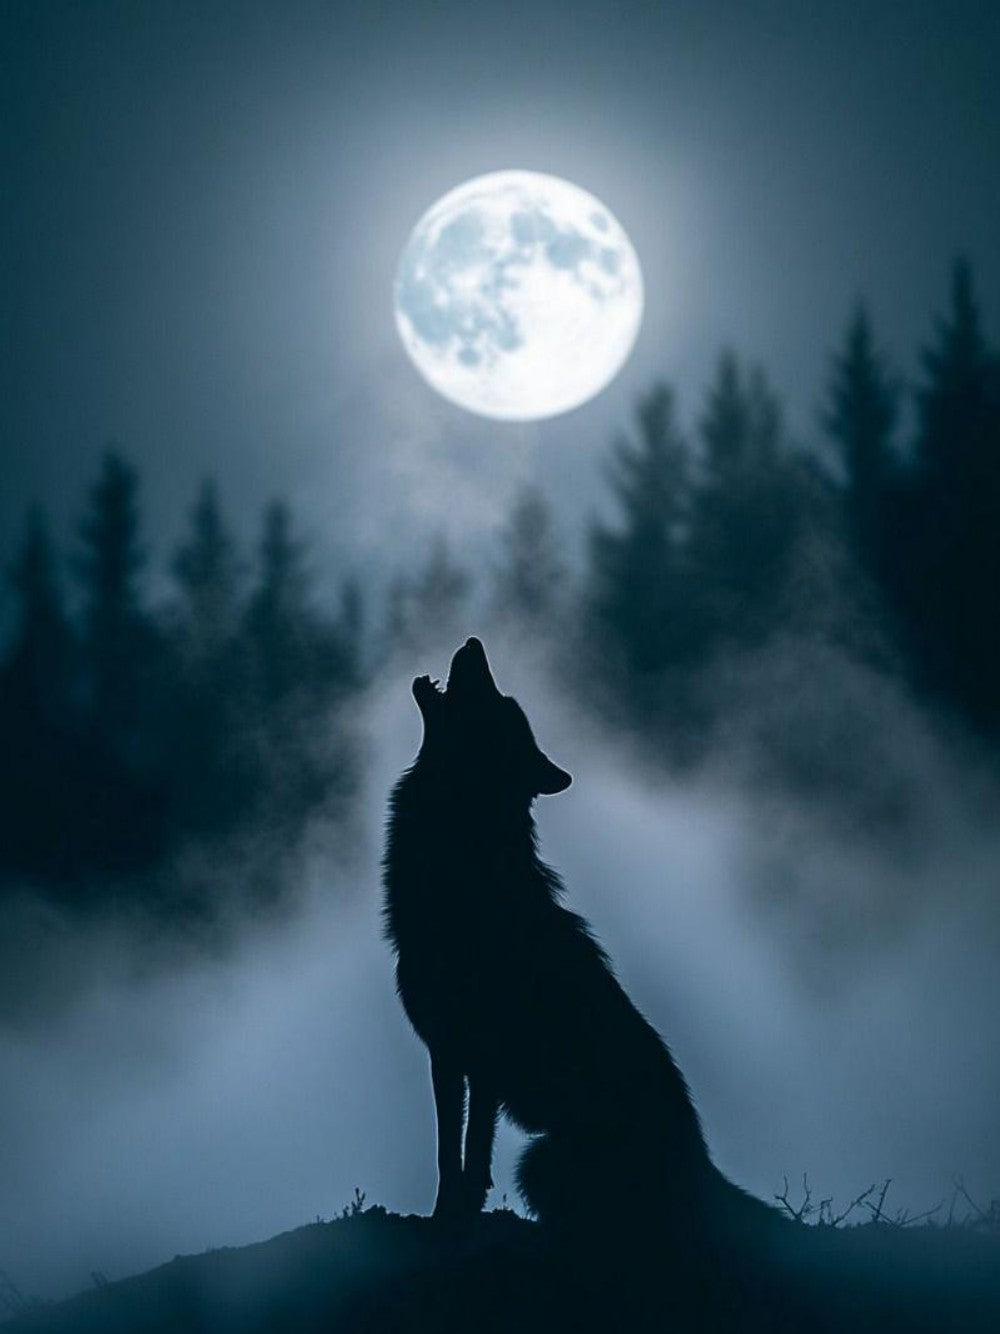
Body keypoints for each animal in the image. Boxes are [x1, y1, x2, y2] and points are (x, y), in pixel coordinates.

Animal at [383, 637, 775, 1238]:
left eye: (498, 703)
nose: (474, 642)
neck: (464, 869)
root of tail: (704, 1168)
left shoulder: (483, 1057)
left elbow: (470, 1151)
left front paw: (460, 1217)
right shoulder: (446, 1053)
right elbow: (450, 1153)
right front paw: (446, 1214)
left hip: (541, 1160)